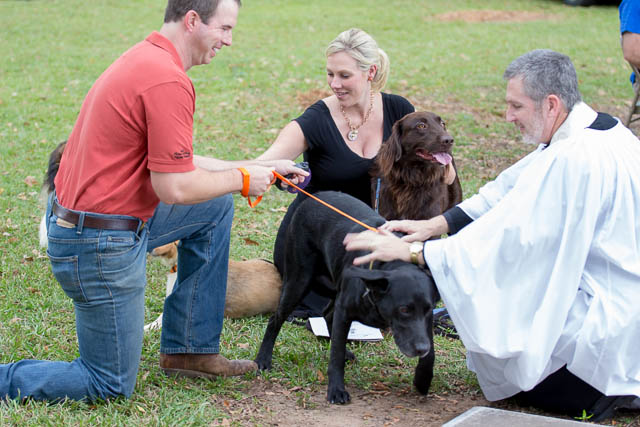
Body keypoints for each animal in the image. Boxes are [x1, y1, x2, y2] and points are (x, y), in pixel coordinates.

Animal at [255, 192, 440, 406]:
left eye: (429, 309)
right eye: (404, 310)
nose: (420, 349)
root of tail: (313, 197)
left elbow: (431, 351)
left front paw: (423, 379)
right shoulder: (344, 310)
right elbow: (335, 356)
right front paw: (336, 390)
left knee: (327, 316)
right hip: (299, 281)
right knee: (275, 319)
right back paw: (263, 359)